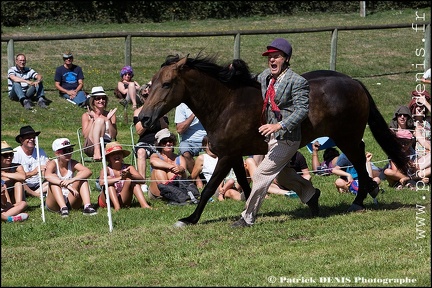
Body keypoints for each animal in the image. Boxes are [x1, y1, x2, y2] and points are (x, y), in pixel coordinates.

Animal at [138, 54, 408, 227]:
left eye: (166, 84)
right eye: (151, 84)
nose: (144, 117)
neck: (226, 105)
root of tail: (354, 82)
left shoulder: (226, 156)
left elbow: (209, 189)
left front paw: (190, 219)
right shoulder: (235, 155)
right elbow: (246, 186)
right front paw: (250, 212)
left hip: (346, 136)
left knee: (359, 159)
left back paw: (359, 199)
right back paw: (365, 191)